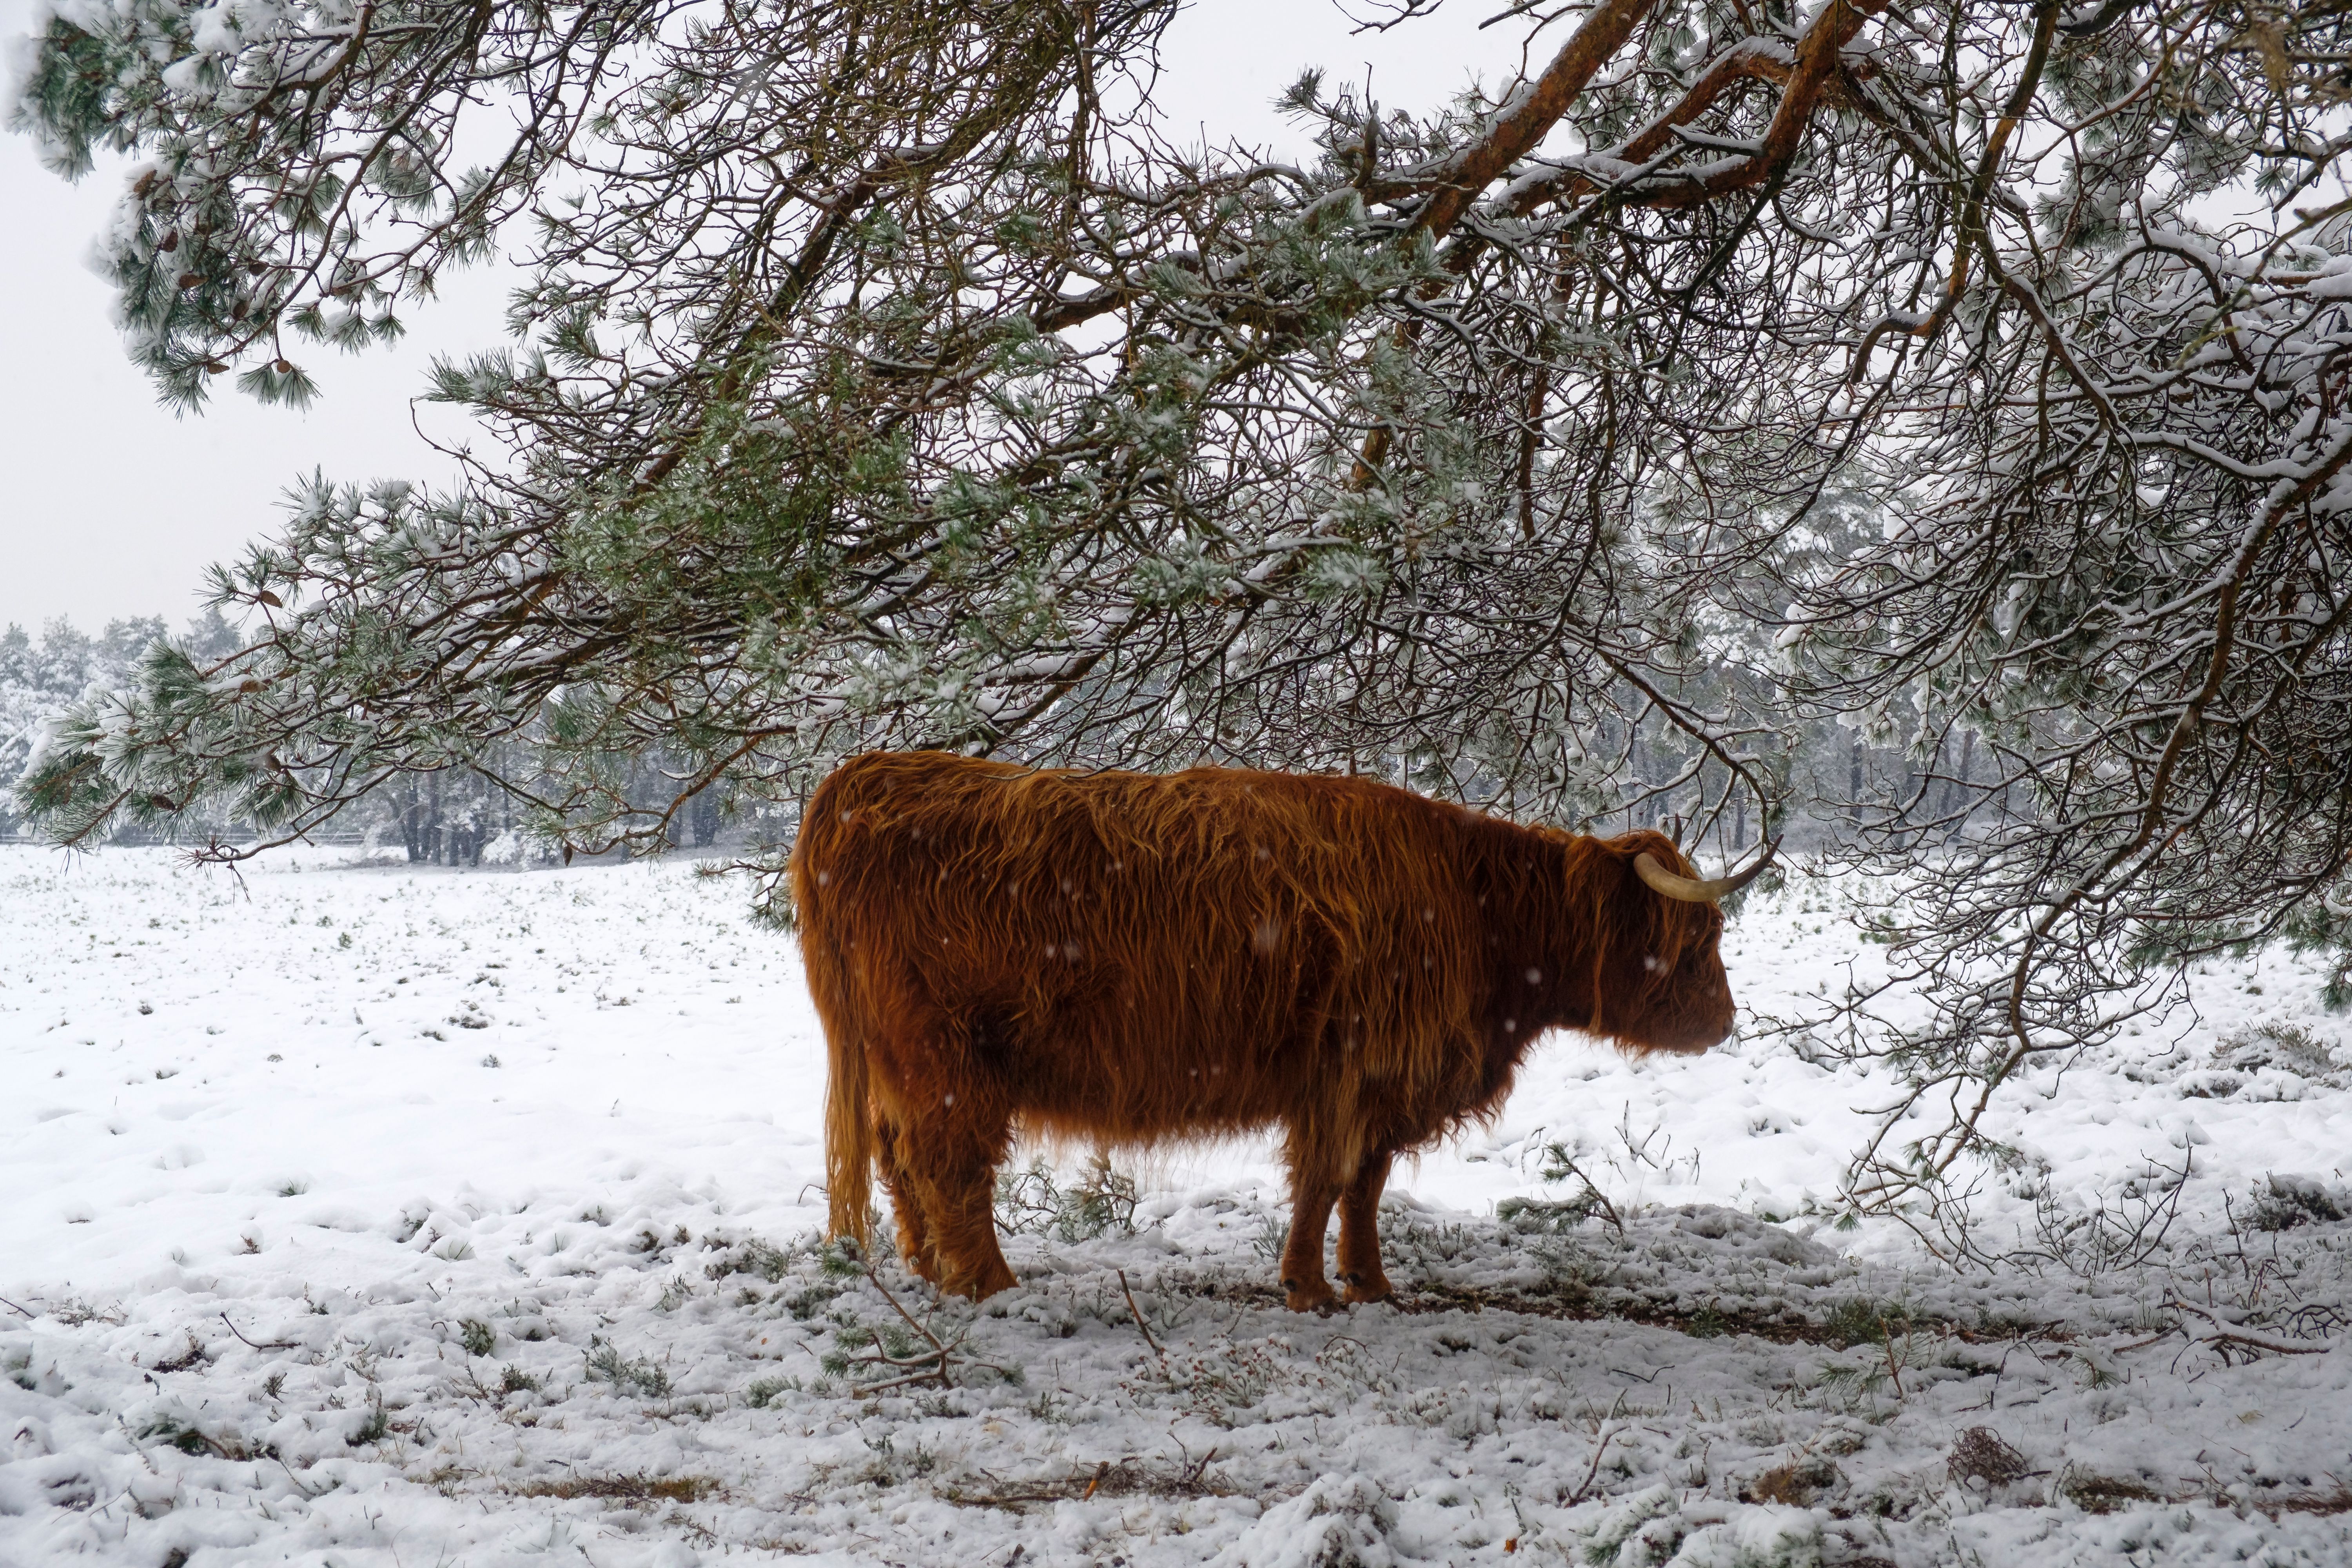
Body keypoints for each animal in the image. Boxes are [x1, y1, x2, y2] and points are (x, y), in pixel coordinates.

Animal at [792, 750, 1766, 1311]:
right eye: (1696, 940)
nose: (1724, 1021)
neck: (1479, 910)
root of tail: (867, 775)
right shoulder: (1353, 1067)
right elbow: (1327, 1179)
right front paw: (1308, 1286)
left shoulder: (1380, 1084)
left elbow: (1364, 1186)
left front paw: (1370, 1281)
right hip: (949, 1055)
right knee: (949, 1162)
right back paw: (987, 1282)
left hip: (898, 1057)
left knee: (897, 1153)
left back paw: (927, 1269)